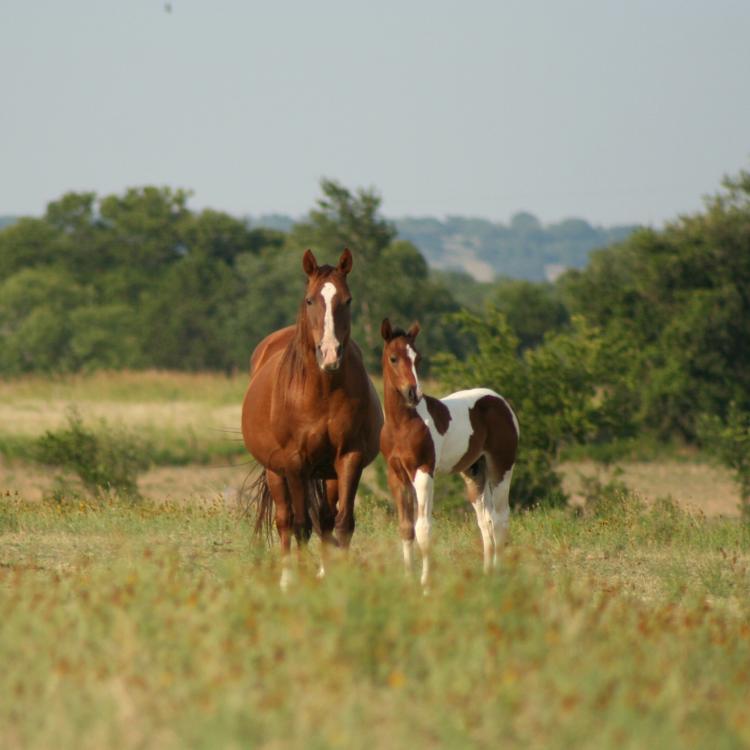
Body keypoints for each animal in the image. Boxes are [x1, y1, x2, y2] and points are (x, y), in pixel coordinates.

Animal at [244, 250, 384, 592]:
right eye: (310, 300)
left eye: (347, 300)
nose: (330, 354)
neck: (322, 390)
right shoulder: (295, 462)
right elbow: (299, 525)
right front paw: (298, 580)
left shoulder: (349, 458)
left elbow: (343, 522)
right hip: (276, 471)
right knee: (285, 520)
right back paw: (287, 577)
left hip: (327, 472)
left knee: (326, 518)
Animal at [378, 320, 520, 592]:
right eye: (393, 358)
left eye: (418, 358)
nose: (413, 394)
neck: (403, 424)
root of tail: (501, 402)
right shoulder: (396, 475)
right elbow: (406, 528)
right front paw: (408, 581)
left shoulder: (423, 471)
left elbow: (423, 529)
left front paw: (426, 585)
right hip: (474, 473)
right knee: (485, 520)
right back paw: (486, 574)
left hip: (502, 467)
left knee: (500, 519)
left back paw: (498, 576)